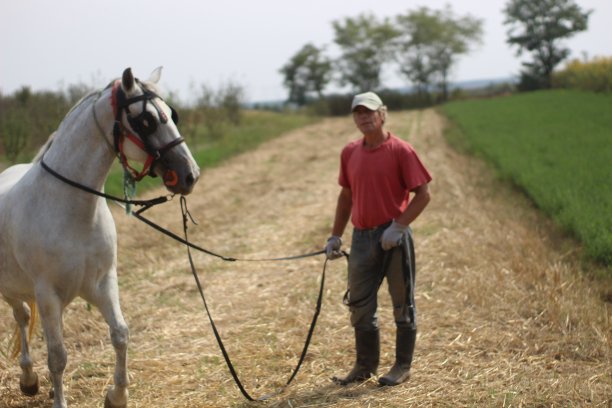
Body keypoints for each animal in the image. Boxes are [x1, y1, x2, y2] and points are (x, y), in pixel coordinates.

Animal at [0, 67, 200, 408]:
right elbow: (57, 356)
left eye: (172, 114)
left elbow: (120, 334)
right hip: (12, 290)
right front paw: (60, 401)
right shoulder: (47, 293)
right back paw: (28, 379)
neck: (72, 209)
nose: (189, 175)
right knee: (22, 317)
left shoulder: (102, 282)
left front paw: (116, 395)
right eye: (146, 120)